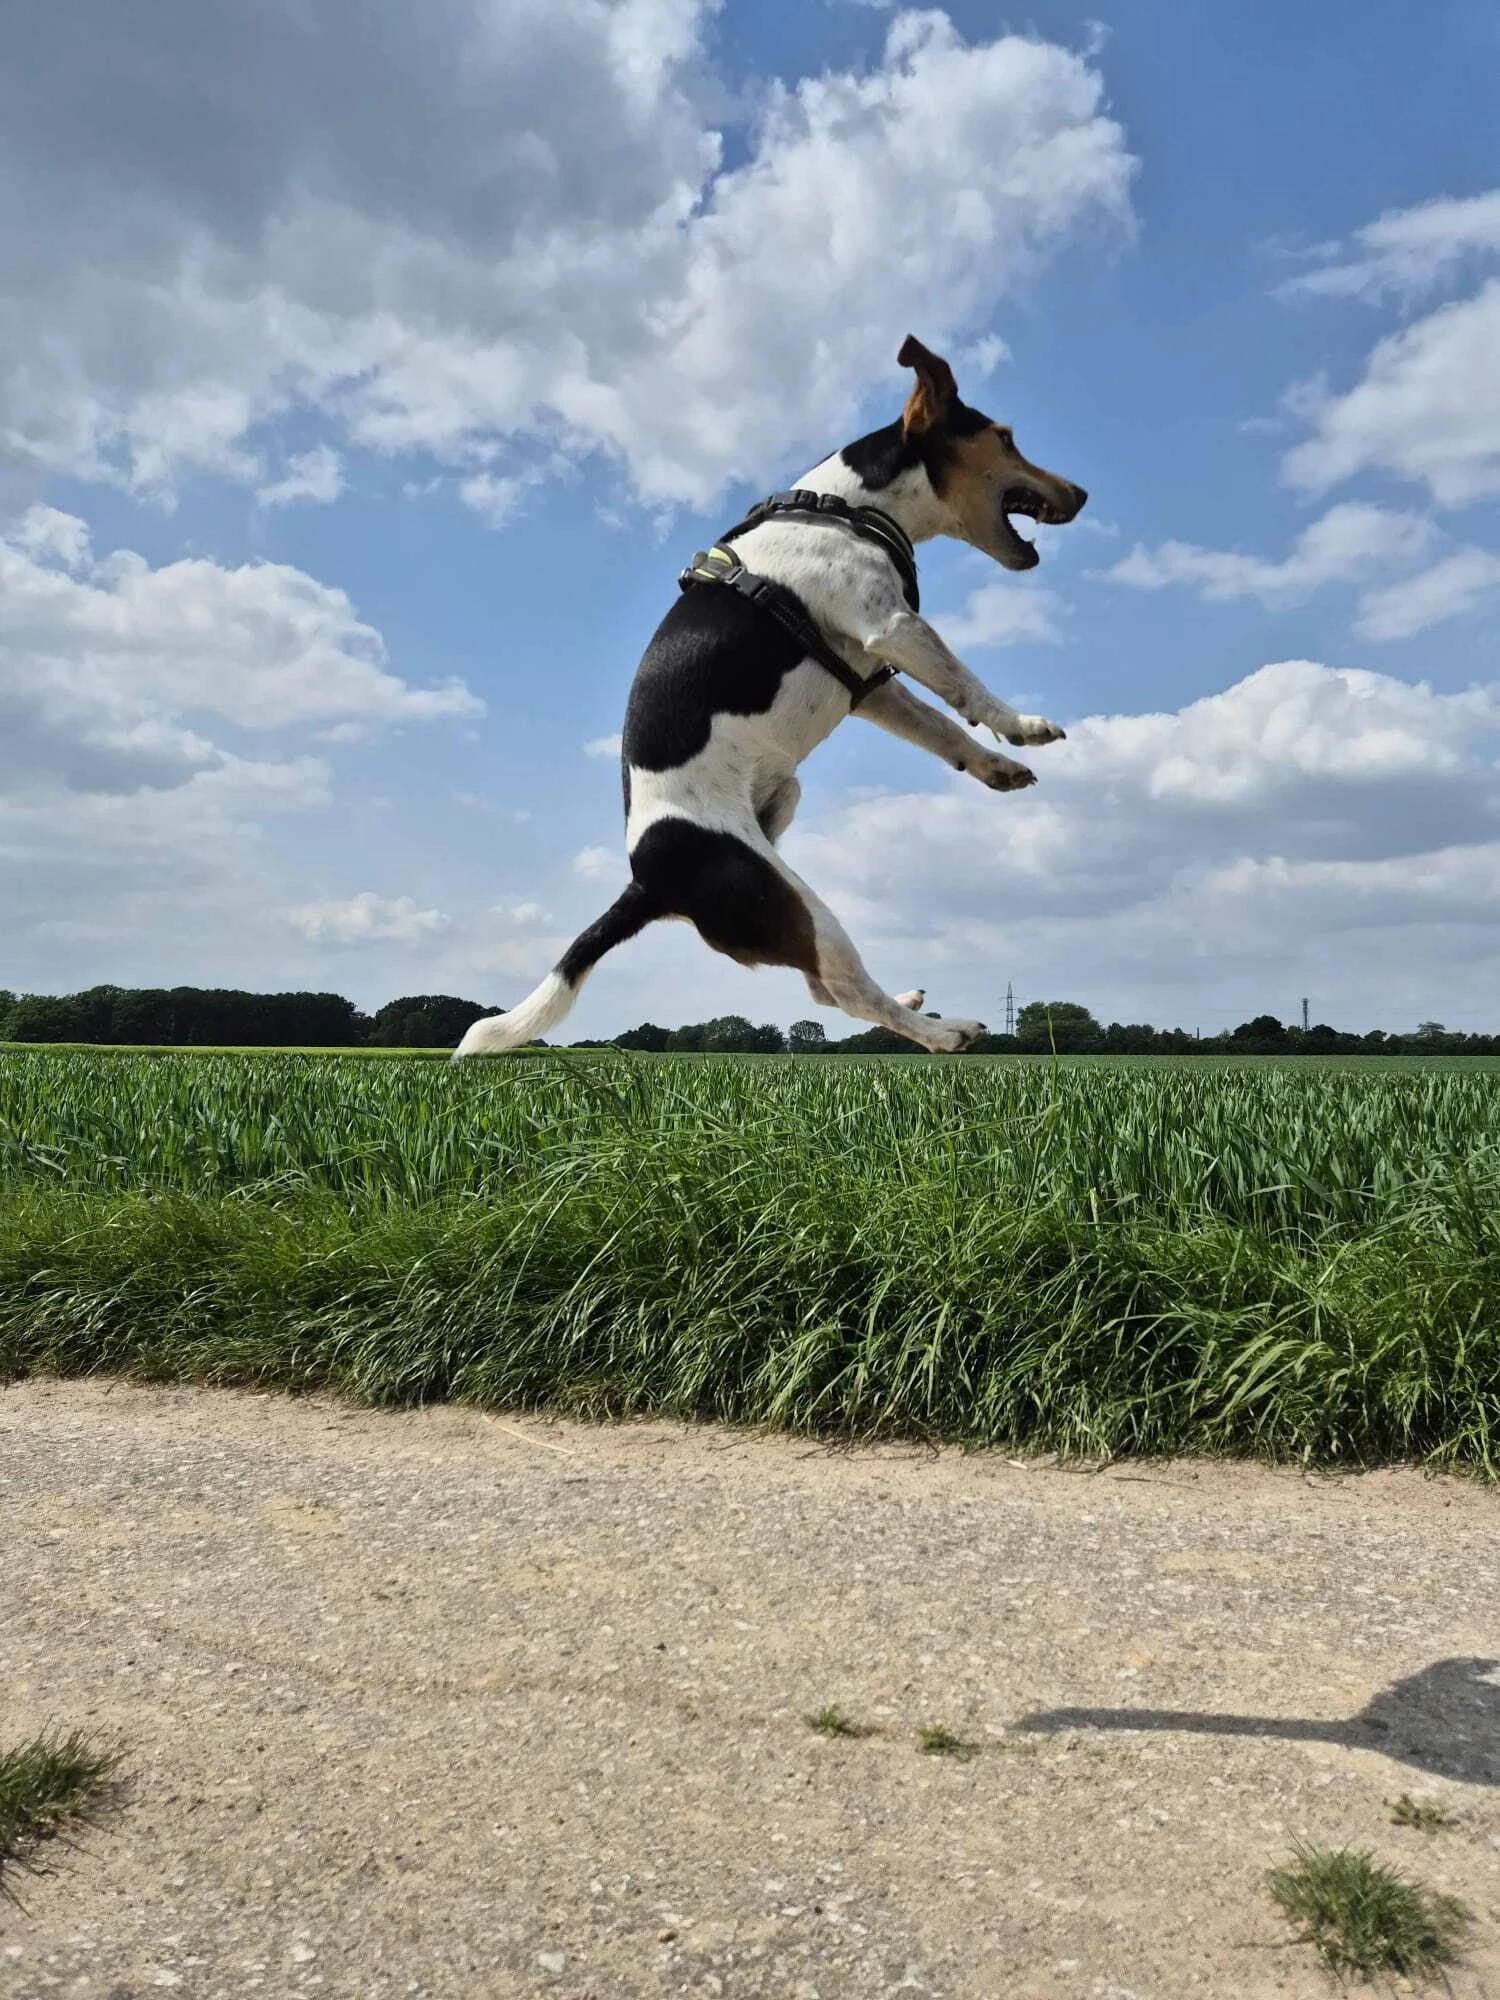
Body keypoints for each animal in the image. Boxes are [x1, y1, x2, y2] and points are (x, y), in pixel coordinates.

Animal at [454, 336, 1086, 1059]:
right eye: (1006, 439)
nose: (1082, 493)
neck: (845, 508)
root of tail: (648, 882)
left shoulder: (869, 683)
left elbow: (941, 728)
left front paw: (996, 766)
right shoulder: (892, 627)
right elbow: (966, 687)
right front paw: (1023, 724)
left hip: (785, 820)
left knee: (821, 987)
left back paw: (913, 1003)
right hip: (793, 898)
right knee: (845, 986)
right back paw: (943, 1031)